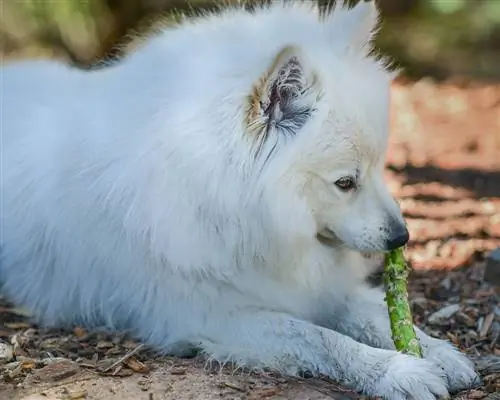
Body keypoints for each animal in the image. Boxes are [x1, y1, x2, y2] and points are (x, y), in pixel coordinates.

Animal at [0, 1, 478, 398]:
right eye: (345, 182)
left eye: (380, 168)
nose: (402, 238)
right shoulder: (216, 314)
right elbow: (321, 338)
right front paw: (396, 371)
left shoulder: (316, 287)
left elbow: (372, 315)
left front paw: (438, 352)